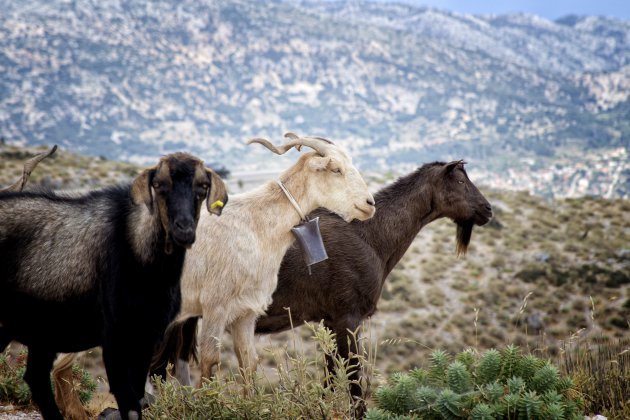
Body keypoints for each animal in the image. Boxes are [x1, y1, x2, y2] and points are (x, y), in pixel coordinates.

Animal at [0, 153, 227, 420]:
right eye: (159, 185)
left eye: (202, 187)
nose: (184, 229)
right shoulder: (115, 336)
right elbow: (127, 399)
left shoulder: (148, 334)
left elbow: (136, 395)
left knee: (35, 377)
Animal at [152, 132, 380, 384]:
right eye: (336, 169)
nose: (369, 204)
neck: (254, 224)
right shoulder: (215, 306)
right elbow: (210, 362)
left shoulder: (246, 311)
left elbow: (248, 363)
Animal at [152, 162, 488, 410]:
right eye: (460, 182)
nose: (487, 210)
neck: (370, 235)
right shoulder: (349, 318)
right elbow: (353, 378)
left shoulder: (330, 321)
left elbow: (329, 375)